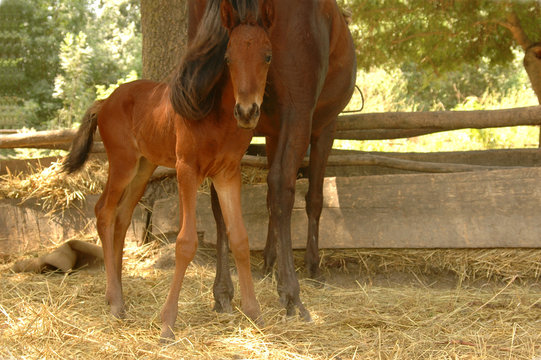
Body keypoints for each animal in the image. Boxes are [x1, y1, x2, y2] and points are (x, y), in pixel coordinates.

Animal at [62, 0, 272, 340]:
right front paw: (167, 323)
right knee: (104, 212)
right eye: (228, 58)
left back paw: (116, 292)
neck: (214, 116)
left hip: (143, 168)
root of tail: (106, 101)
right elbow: (185, 243)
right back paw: (116, 302)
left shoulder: (228, 173)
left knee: (121, 217)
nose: (246, 111)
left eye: (267, 56)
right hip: (123, 163)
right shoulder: (187, 170)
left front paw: (254, 313)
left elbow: (240, 238)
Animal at [173, 0, 356, 320]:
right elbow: (311, 198)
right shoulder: (320, 125)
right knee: (283, 190)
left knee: (244, 196)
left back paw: (239, 284)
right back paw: (290, 289)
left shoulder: (276, 128)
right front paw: (306, 271)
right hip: (300, 120)